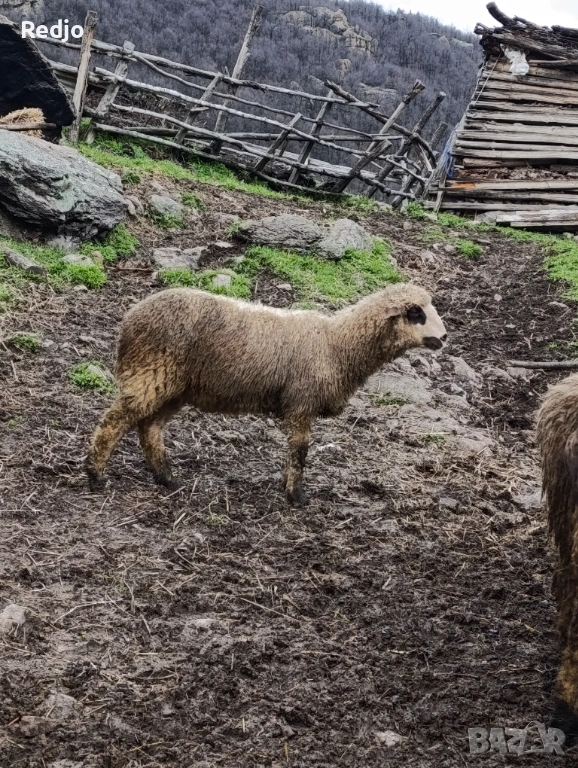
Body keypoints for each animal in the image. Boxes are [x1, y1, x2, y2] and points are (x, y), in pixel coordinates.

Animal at [86, 283, 447, 504]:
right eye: (415, 312)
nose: (443, 338)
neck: (336, 344)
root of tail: (130, 318)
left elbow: (293, 452)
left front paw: (288, 486)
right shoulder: (301, 403)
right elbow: (300, 453)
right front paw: (296, 496)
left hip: (174, 386)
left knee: (150, 428)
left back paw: (166, 478)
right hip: (150, 373)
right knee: (113, 422)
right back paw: (95, 476)